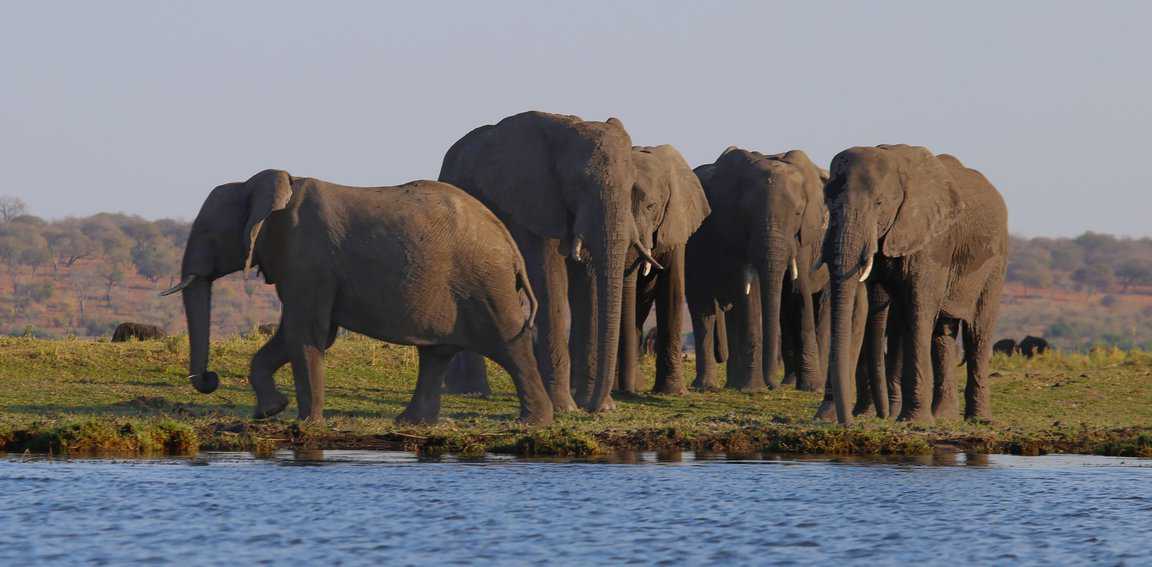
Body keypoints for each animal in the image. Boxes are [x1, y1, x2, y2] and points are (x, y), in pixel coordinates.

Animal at [161, 169, 553, 425]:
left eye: (209, 233)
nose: (211, 378)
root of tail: (511, 246)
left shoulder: (306, 256)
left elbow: (307, 333)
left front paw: (306, 424)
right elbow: (298, 334)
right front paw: (270, 411)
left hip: (487, 285)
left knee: (509, 344)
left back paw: (532, 423)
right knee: (435, 354)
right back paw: (410, 424)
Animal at [439, 111, 660, 413]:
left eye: (630, 187)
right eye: (578, 183)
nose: (596, 407)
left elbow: (589, 283)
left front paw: (594, 405)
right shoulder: (534, 202)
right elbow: (549, 277)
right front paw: (565, 407)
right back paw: (472, 391)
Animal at [686, 147, 830, 393]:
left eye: (798, 212)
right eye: (746, 214)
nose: (775, 387)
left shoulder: (803, 236)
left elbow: (798, 293)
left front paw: (813, 388)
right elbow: (749, 295)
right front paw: (753, 389)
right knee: (702, 307)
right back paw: (709, 386)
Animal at [822, 145, 1008, 425]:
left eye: (879, 203)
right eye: (828, 203)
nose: (848, 421)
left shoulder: (932, 243)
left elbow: (919, 310)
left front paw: (914, 421)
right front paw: (823, 417)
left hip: (994, 262)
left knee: (977, 333)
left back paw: (979, 419)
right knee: (943, 334)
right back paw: (944, 417)